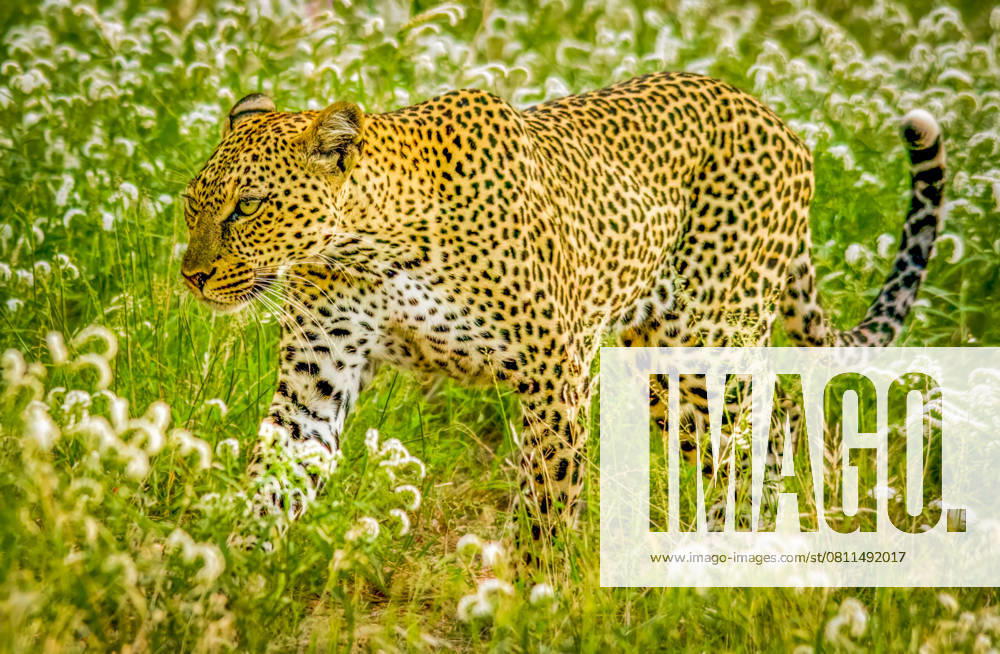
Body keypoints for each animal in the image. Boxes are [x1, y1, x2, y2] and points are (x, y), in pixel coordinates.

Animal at [180, 72, 946, 545]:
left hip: (709, 336)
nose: (193, 275)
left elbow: (548, 503)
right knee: (772, 413)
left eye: (248, 206)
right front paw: (232, 578)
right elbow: (277, 476)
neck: (370, 246)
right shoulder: (319, 373)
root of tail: (779, 123)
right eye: (194, 203)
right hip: (661, 362)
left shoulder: (554, 371)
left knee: (755, 424)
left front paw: (531, 602)